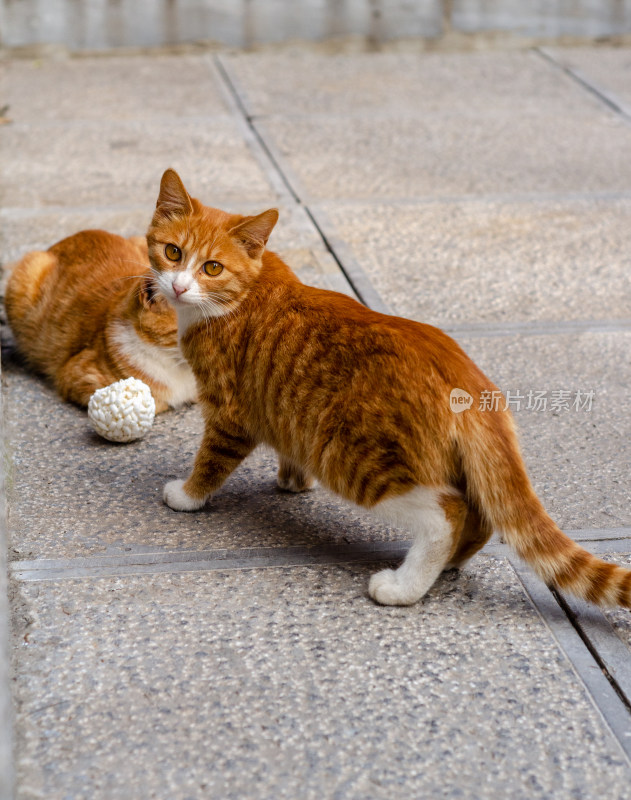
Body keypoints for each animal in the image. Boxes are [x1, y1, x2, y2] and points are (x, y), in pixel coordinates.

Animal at [149, 169, 631, 608]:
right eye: (173, 252)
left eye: (212, 267)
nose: (179, 286)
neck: (242, 292)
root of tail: (471, 383)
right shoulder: (285, 408)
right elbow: (289, 443)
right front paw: (293, 481)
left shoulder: (229, 414)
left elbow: (210, 461)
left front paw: (187, 495)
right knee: (480, 517)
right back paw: (451, 563)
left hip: (357, 460)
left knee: (448, 515)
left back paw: (404, 587)